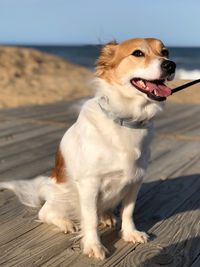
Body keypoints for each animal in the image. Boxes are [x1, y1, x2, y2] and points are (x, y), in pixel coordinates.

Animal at [0, 37, 175, 260]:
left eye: (165, 52)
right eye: (138, 53)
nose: (171, 65)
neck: (125, 120)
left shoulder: (136, 179)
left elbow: (128, 212)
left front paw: (130, 233)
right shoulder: (90, 184)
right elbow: (90, 218)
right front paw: (93, 245)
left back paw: (107, 216)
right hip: (64, 195)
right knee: (46, 212)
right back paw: (66, 222)